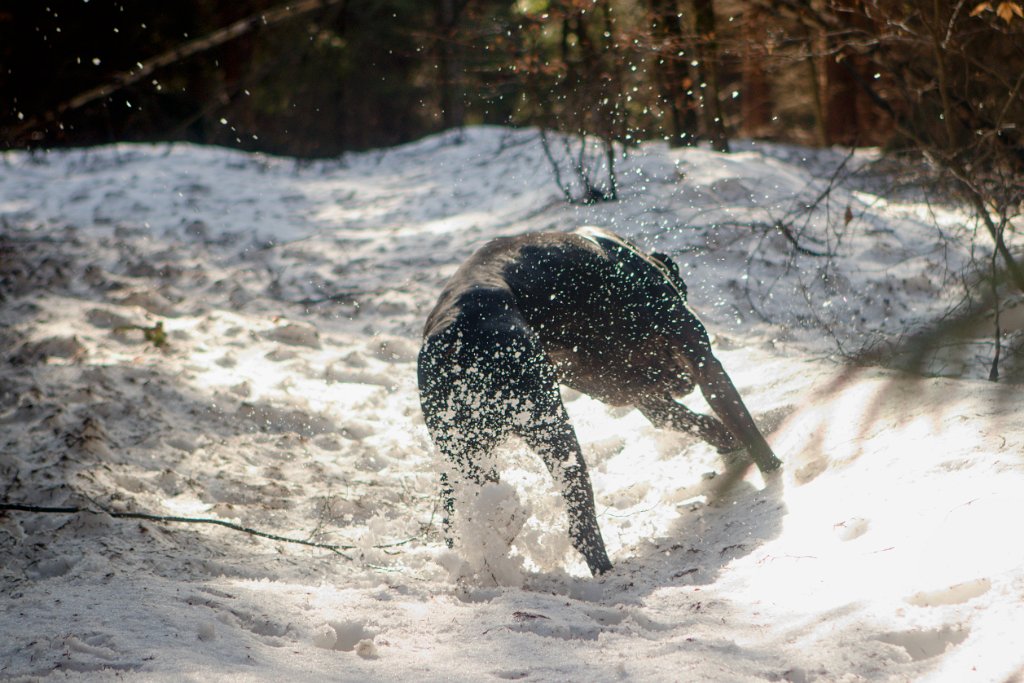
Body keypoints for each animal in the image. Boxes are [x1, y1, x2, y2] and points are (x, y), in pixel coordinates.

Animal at [419, 227, 778, 573]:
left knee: (467, 519)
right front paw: (772, 471)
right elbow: (745, 426)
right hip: (555, 434)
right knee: (581, 524)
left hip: (465, 458)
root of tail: (454, 337)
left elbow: (702, 422)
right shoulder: (701, 361)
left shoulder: (650, 400)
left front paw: (727, 444)